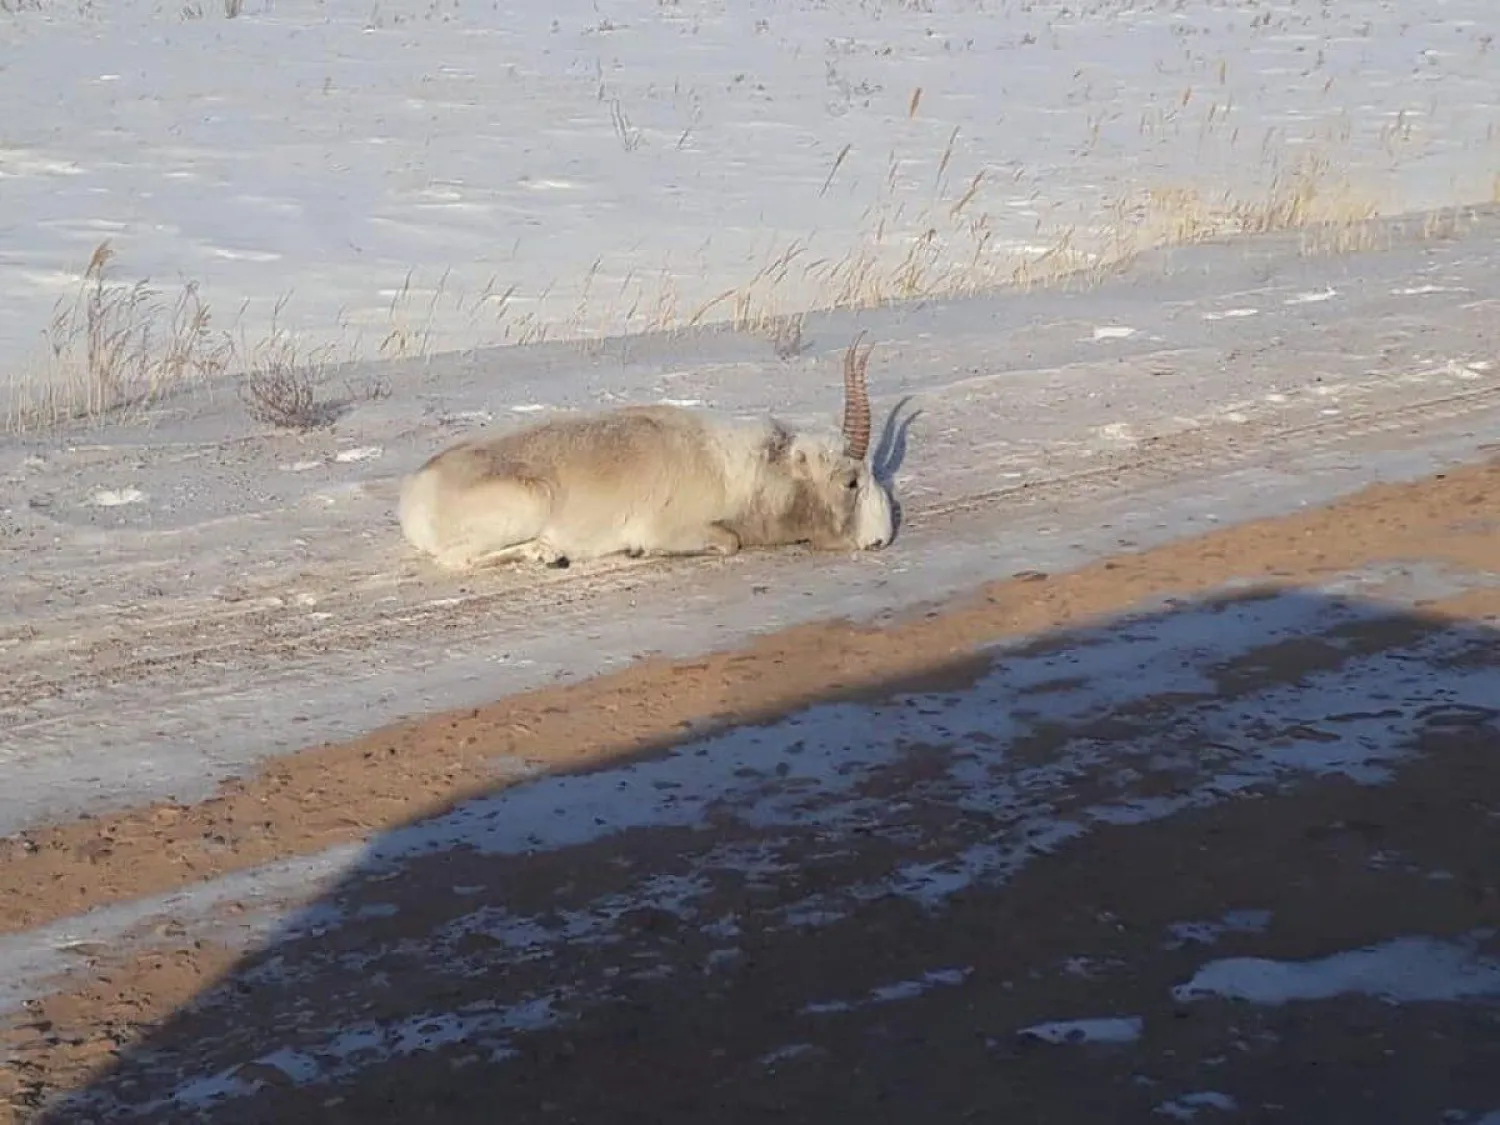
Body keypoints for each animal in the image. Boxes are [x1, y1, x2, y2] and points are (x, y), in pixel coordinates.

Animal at [396, 330, 888, 567]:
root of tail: (416, 493)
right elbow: (728, 541)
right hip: (529, 499)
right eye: (851, 481)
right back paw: (545, 553)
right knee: (455, 560)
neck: (746, 471)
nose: (882, 538)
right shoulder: (674, 528)